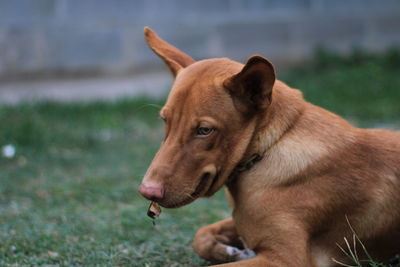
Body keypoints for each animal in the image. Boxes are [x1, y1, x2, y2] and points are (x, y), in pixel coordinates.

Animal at [138, 27, 400, 267]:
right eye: (165, 121)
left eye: (204, 130)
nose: (147, 192)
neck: (269, 149)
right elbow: (200, 235)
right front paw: (231, 250)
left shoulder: (286, 259)